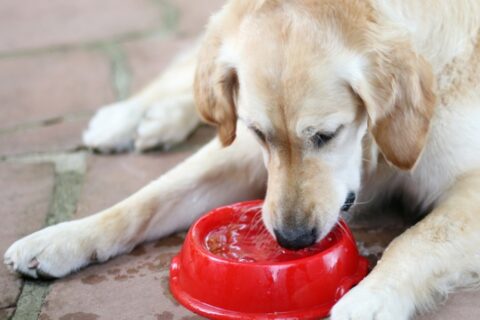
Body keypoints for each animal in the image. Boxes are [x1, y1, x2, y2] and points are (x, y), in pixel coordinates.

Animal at [3, 0, 480, 320]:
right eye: (259, 133)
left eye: (326, 135)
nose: (291, 239)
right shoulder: (243, 150)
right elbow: (145, 200)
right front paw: (62, 238)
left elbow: (416, 240)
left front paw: (367, 299)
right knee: (194, 76)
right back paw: (128, 117)